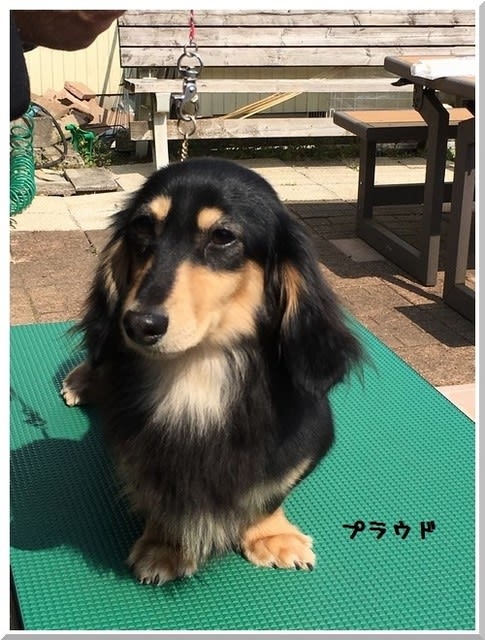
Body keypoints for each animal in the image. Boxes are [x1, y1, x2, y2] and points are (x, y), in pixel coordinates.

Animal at [61, 157, 362, 584]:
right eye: (142, 227)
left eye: (222, 236)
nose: (138, 324)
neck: (197, 369)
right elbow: (156, 493)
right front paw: (165, 543)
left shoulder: (307, 439)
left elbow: (271, 492)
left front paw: (270, 534)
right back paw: (81, 380)